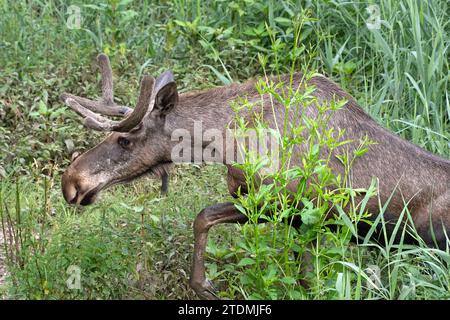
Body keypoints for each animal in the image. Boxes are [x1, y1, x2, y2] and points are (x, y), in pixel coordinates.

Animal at [60, 53, 450, 300]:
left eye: (124, 140)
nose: (71, 183)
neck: (225, 140)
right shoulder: (297, 219)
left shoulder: (290, 205)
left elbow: (202, 217)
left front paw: (203, 285)